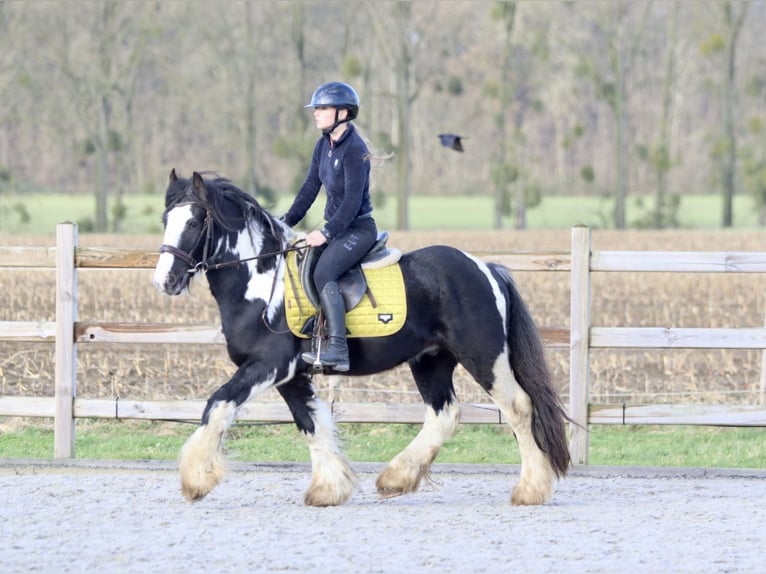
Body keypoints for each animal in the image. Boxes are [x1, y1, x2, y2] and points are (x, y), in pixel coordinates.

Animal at [154, 170, 568, 508]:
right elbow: (312, 422)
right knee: (444, 414)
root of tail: (487, 268)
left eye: (194, 221)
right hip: (431, 360)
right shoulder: (292, 374)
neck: (260, 281)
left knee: (519, 408)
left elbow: (218, 405)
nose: (164, 281)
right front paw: (328, 489)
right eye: (165, 220)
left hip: (484, 356)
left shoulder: (268, 364)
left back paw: (530, 490)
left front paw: (195, 479)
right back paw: (395, 479)